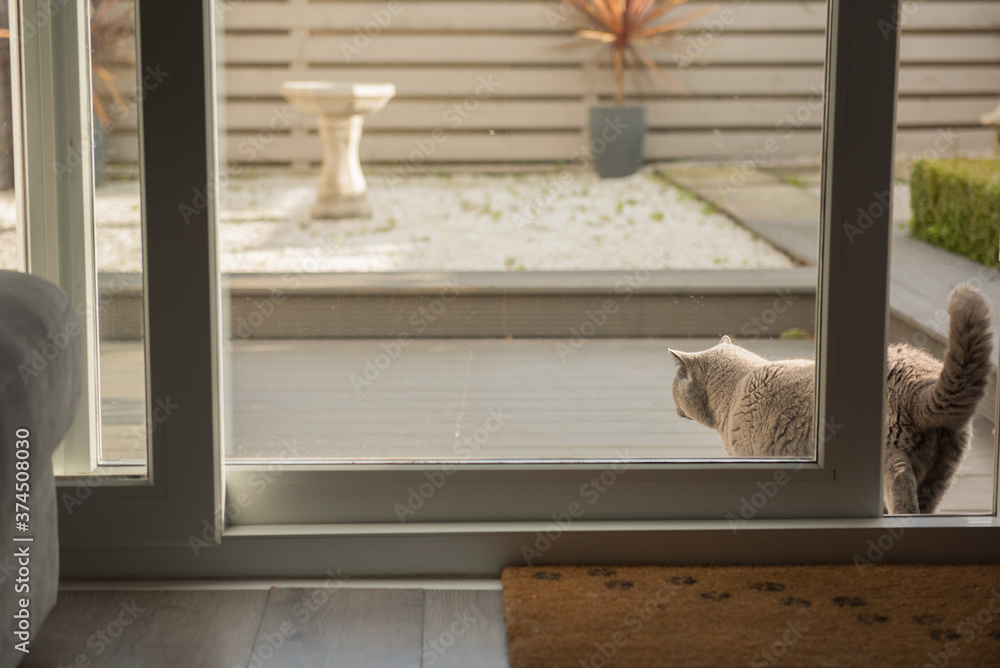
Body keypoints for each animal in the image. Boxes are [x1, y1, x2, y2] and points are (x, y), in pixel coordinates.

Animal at [672, 284, 992, 516]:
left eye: (675, 384)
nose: (672, 396)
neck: (735, 389)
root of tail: (918, 380)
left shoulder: (749, 455)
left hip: (893, 462)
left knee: (905, 505)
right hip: (942, 472)